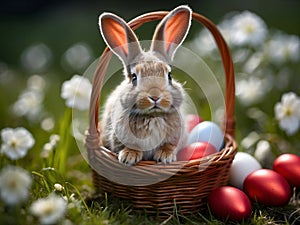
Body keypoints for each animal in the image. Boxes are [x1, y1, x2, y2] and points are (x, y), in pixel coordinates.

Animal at [98, 4, 192, 165]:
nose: (155, 97)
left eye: (169, 75)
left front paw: (165, 156)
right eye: (134, 77)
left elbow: (170, 145)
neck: (152, 116)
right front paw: (128, 156)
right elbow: (129, 146)